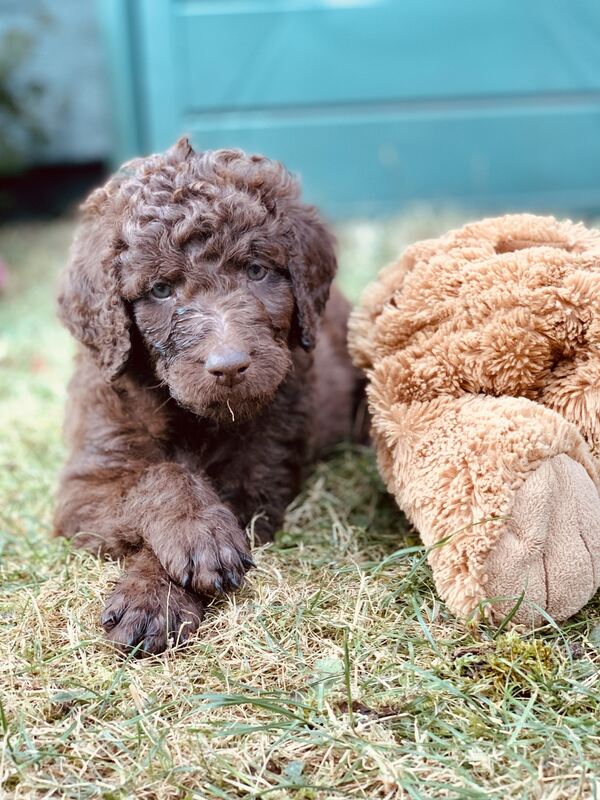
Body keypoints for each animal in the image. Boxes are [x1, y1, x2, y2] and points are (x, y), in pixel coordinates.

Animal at [56, 138, 364, 656]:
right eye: (161, 289)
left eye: (257, 271)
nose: (230, 366)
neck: (192, 417)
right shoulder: (84, 485)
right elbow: (158, 475)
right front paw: (191, 544)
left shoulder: (258, 477)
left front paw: (154, 595)